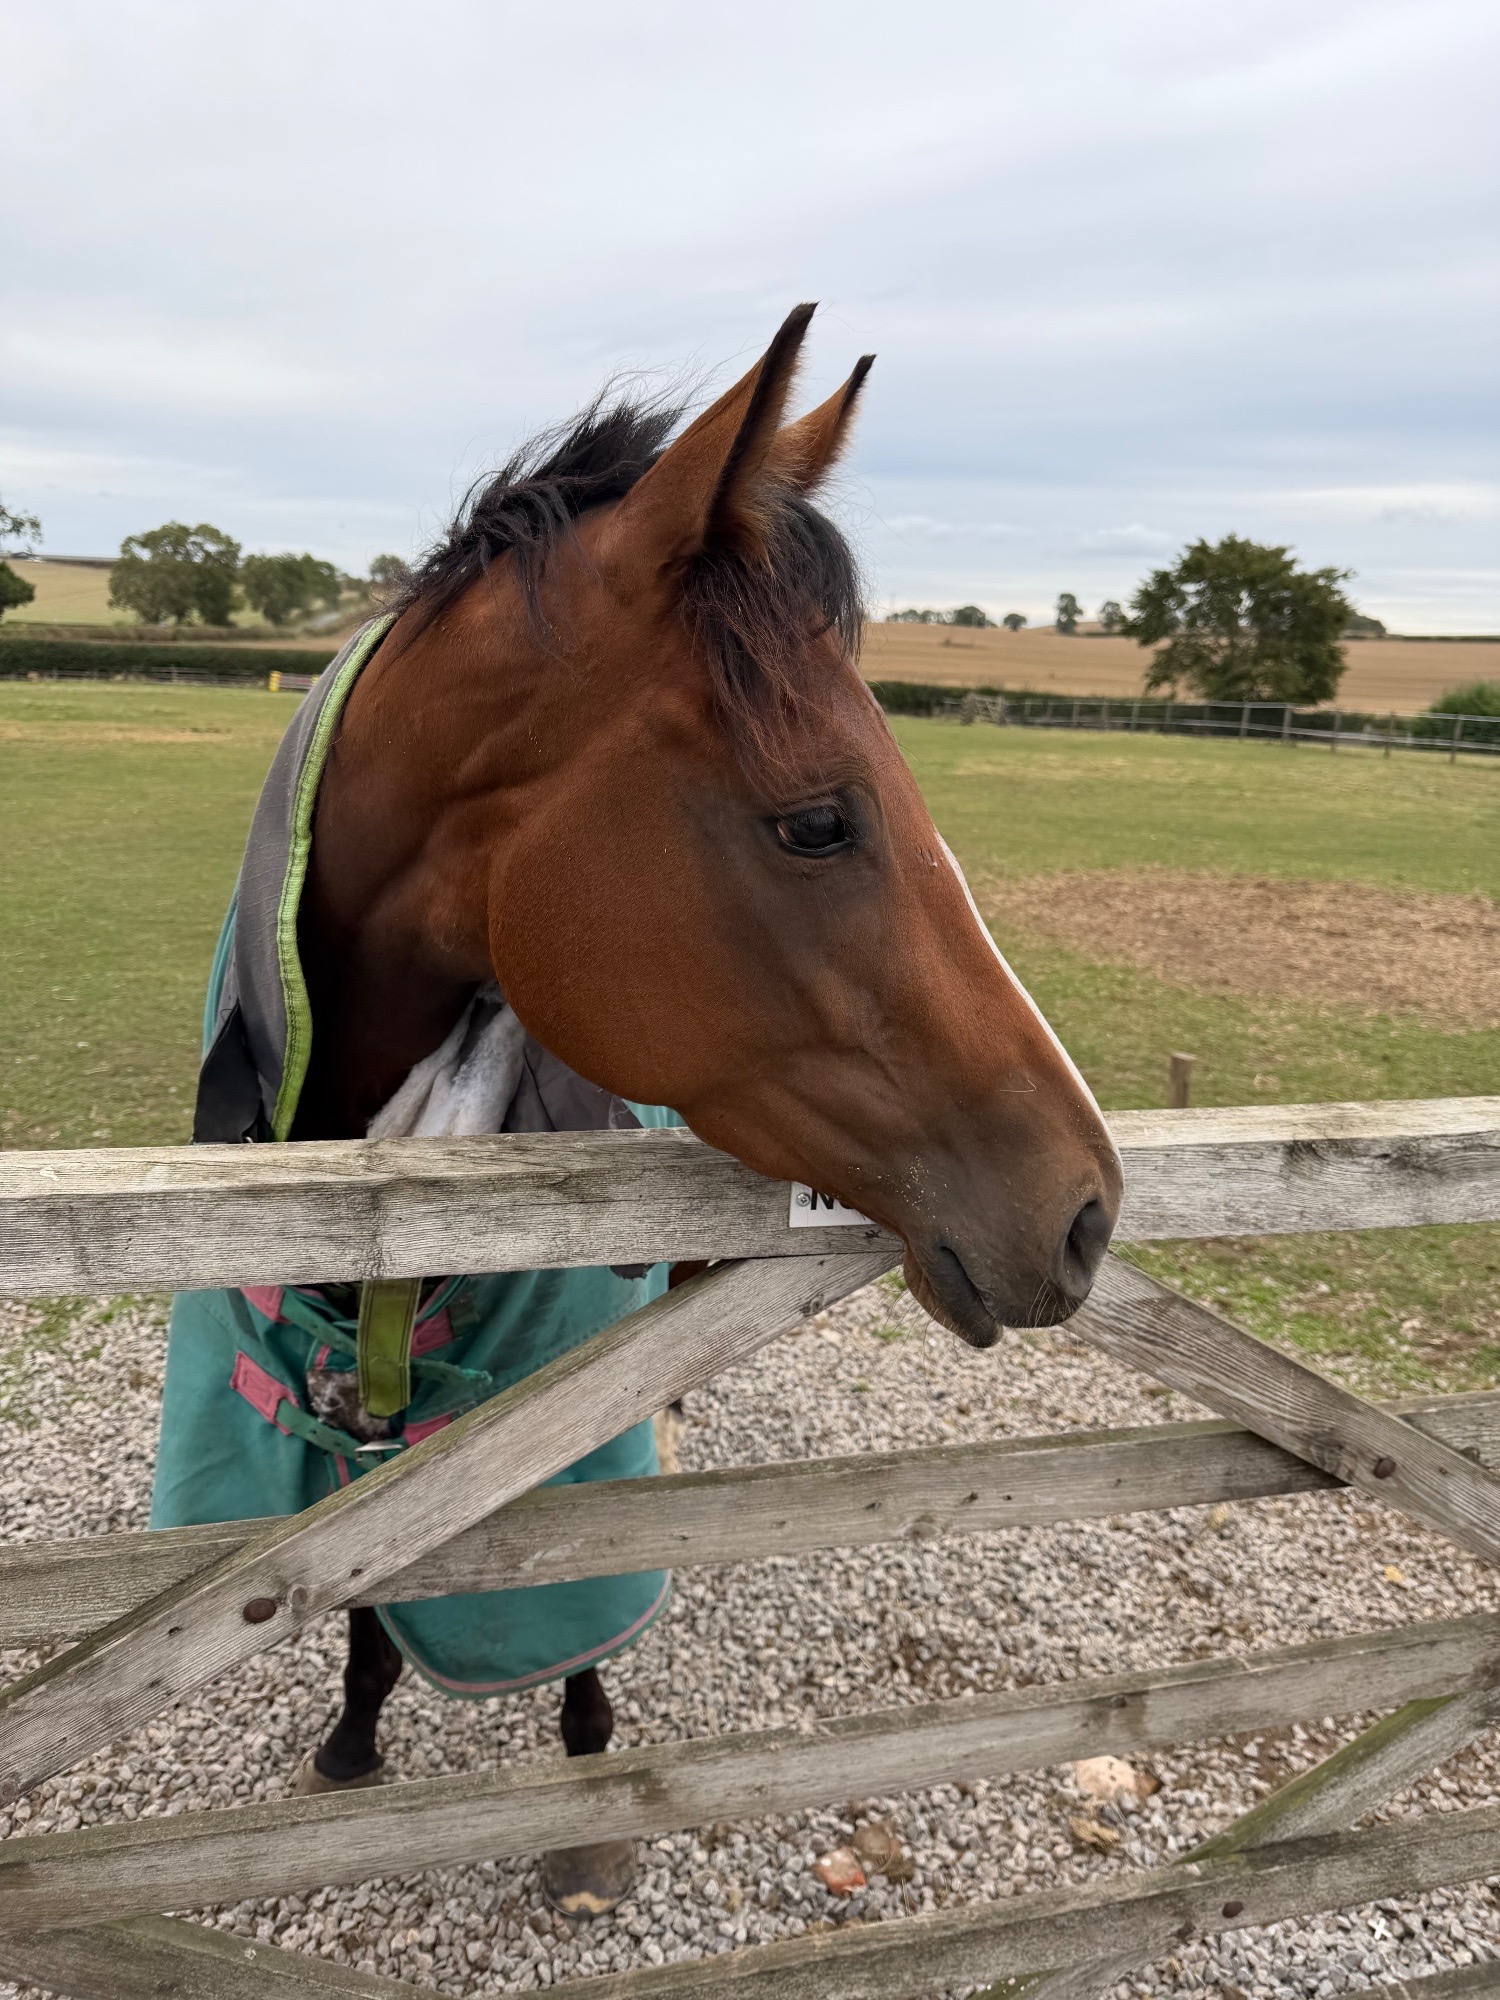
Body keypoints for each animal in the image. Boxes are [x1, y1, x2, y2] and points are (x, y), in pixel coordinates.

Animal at [159, 303, 1120, 1917]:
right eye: (818, 818)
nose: (1090, 1210)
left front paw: (588, 1777)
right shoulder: (353, 1448)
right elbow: (369, 1574)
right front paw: (353, 1734)